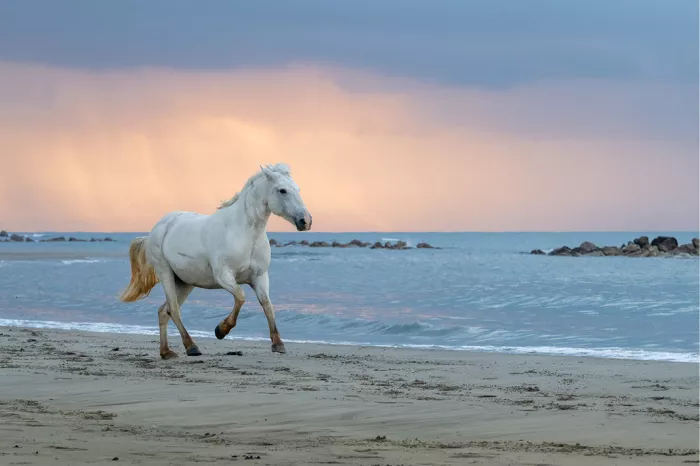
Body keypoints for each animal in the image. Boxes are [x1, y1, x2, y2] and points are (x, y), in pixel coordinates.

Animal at [119, 163, 312, 359]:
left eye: (298, 189)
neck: (244, 233)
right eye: (282, 190)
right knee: (173, 310)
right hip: (165, 273)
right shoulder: (224, 276)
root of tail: (156, 228)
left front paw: (278, 344)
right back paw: (191, 347)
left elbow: (267, 305)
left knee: (163, 312)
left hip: (184, 283)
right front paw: (221, 330)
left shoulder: (260, 277)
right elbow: (241, 297)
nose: (306, 221)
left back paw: (166, 352)